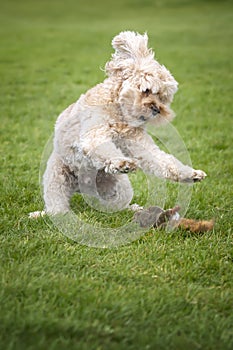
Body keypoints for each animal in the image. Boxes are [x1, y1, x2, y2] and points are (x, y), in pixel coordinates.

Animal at [29, 30, 206, 217]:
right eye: (146, 90)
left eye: (162, 97)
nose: (157, 109)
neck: (120, 115)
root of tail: (81, 187)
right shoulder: (93, 134)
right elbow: (104, 148)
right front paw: (123, 163)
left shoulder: (139, 144)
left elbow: (163, 161)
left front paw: (192, 174)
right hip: (56, 179)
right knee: (57, 208)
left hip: (120, 187)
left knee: (117, 206)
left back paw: (134, 209)